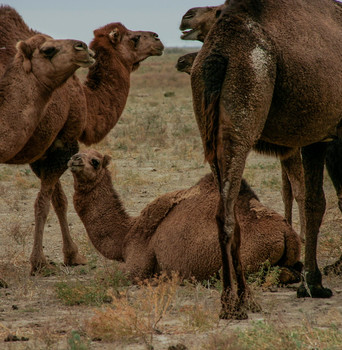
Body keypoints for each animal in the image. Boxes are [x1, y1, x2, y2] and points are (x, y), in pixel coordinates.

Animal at [69, 149, 302, 284]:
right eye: (79, 152)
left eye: (95, 161)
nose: (74, 159)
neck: (127, 234)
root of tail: (288, 232)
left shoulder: (136, 264)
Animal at [179, 4, 308, 242]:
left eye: (214, 11)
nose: (180, 61)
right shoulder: (287, 148)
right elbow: (287, 190)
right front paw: (288, 225)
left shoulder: (293, 146)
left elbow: (298, 189)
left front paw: (302, 236)